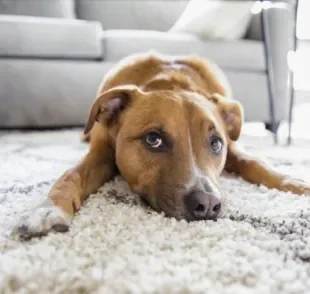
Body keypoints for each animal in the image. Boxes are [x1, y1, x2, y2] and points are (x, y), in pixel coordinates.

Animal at [13, 50, 310, 239]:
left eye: (216, 143)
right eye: (153, 139)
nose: (208, 205)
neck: (170, 82)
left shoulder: (234, 146)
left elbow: (256, 162)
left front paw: (294, 182)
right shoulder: (101, 152)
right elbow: (71, 174)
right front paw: (47, 209)